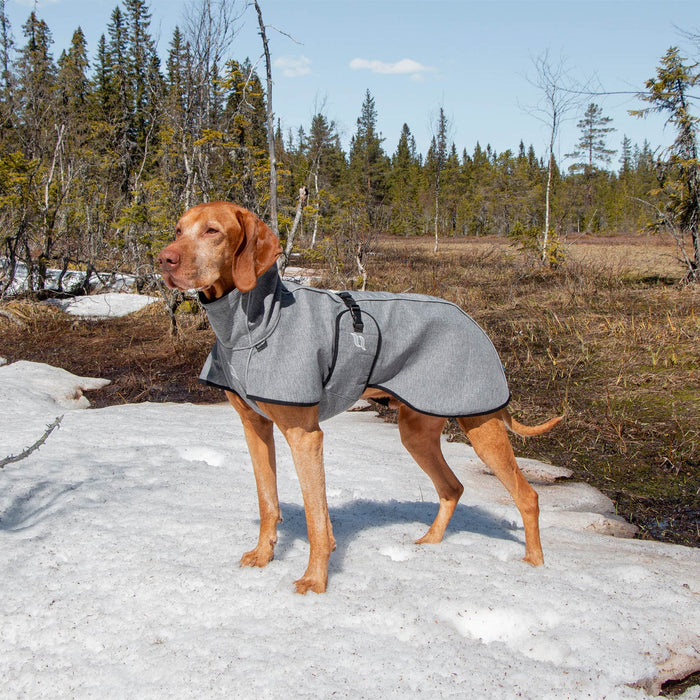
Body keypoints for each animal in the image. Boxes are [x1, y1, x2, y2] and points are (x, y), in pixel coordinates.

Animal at [156, 200, 560, 592]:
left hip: (481, 424)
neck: (253, 324)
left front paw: (315, 580)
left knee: (527, 496)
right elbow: (268, 501)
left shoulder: (305, 436)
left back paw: (535, 565)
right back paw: (430, 544)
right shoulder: (255, 428)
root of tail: (474, 323)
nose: (164, 259)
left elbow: (316, 516)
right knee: (452, 487)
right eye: (178, 230)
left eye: (213, 231)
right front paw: (263, 556)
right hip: (416, 432)